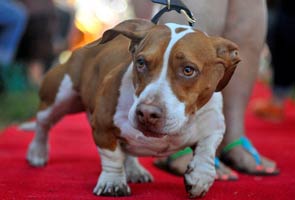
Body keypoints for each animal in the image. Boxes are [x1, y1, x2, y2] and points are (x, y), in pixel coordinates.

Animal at [26, 19, 240, 198]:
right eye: (141, 62)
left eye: (188, 70)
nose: (147, 113)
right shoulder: (103, 126)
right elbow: (112, 156)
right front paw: (112, 182)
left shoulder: (214, 125)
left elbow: (207, 149)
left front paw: (200, 177)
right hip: (59, 96)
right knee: (43, 123)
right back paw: (37, 153)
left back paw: (134, 169)